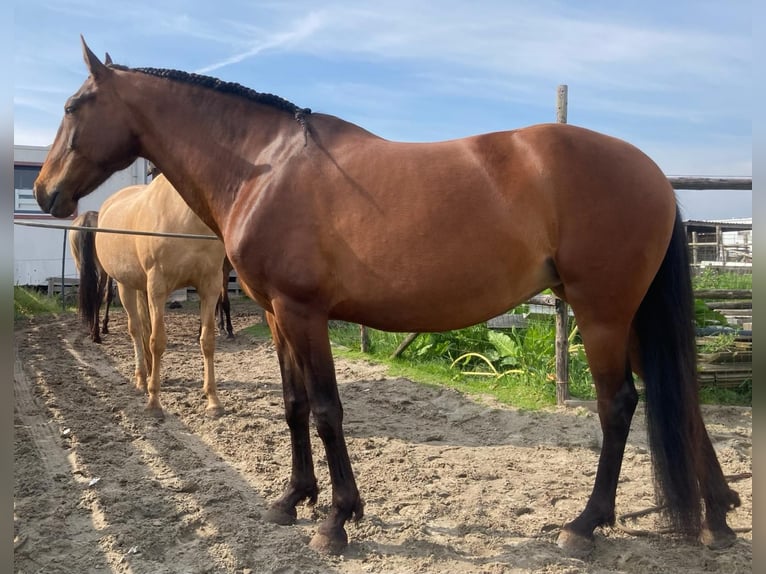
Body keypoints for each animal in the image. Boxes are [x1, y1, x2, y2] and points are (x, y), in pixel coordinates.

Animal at [69, 213, 115, 344]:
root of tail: (87, 220)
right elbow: (109, 295)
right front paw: (104, 326)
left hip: (79, 263)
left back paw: (91, 330)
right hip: (101, 269)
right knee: (97, 296)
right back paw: (96, 334)